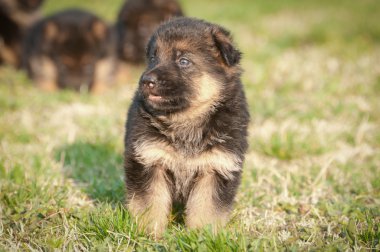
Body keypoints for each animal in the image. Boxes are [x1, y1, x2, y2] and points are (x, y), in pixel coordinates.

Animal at [124, 17, 249, 236]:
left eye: (183, 61)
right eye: (153, 58)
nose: (147, 81)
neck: (186, 119)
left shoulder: (216, 167)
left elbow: (207, 208)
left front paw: (202, 236)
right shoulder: (148, 160)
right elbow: (149, 202)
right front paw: (149, 233)